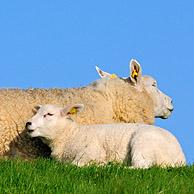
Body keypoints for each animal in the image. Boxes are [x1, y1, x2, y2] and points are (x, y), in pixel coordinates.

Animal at [25, 103, 185, 168]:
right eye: (36, 112)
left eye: (49, 114)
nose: (28, 123)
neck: (70, 135)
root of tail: (180, 158)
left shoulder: (90, 153)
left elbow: (74, 165)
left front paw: (99, 164)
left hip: (143, 143)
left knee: (142, 166)